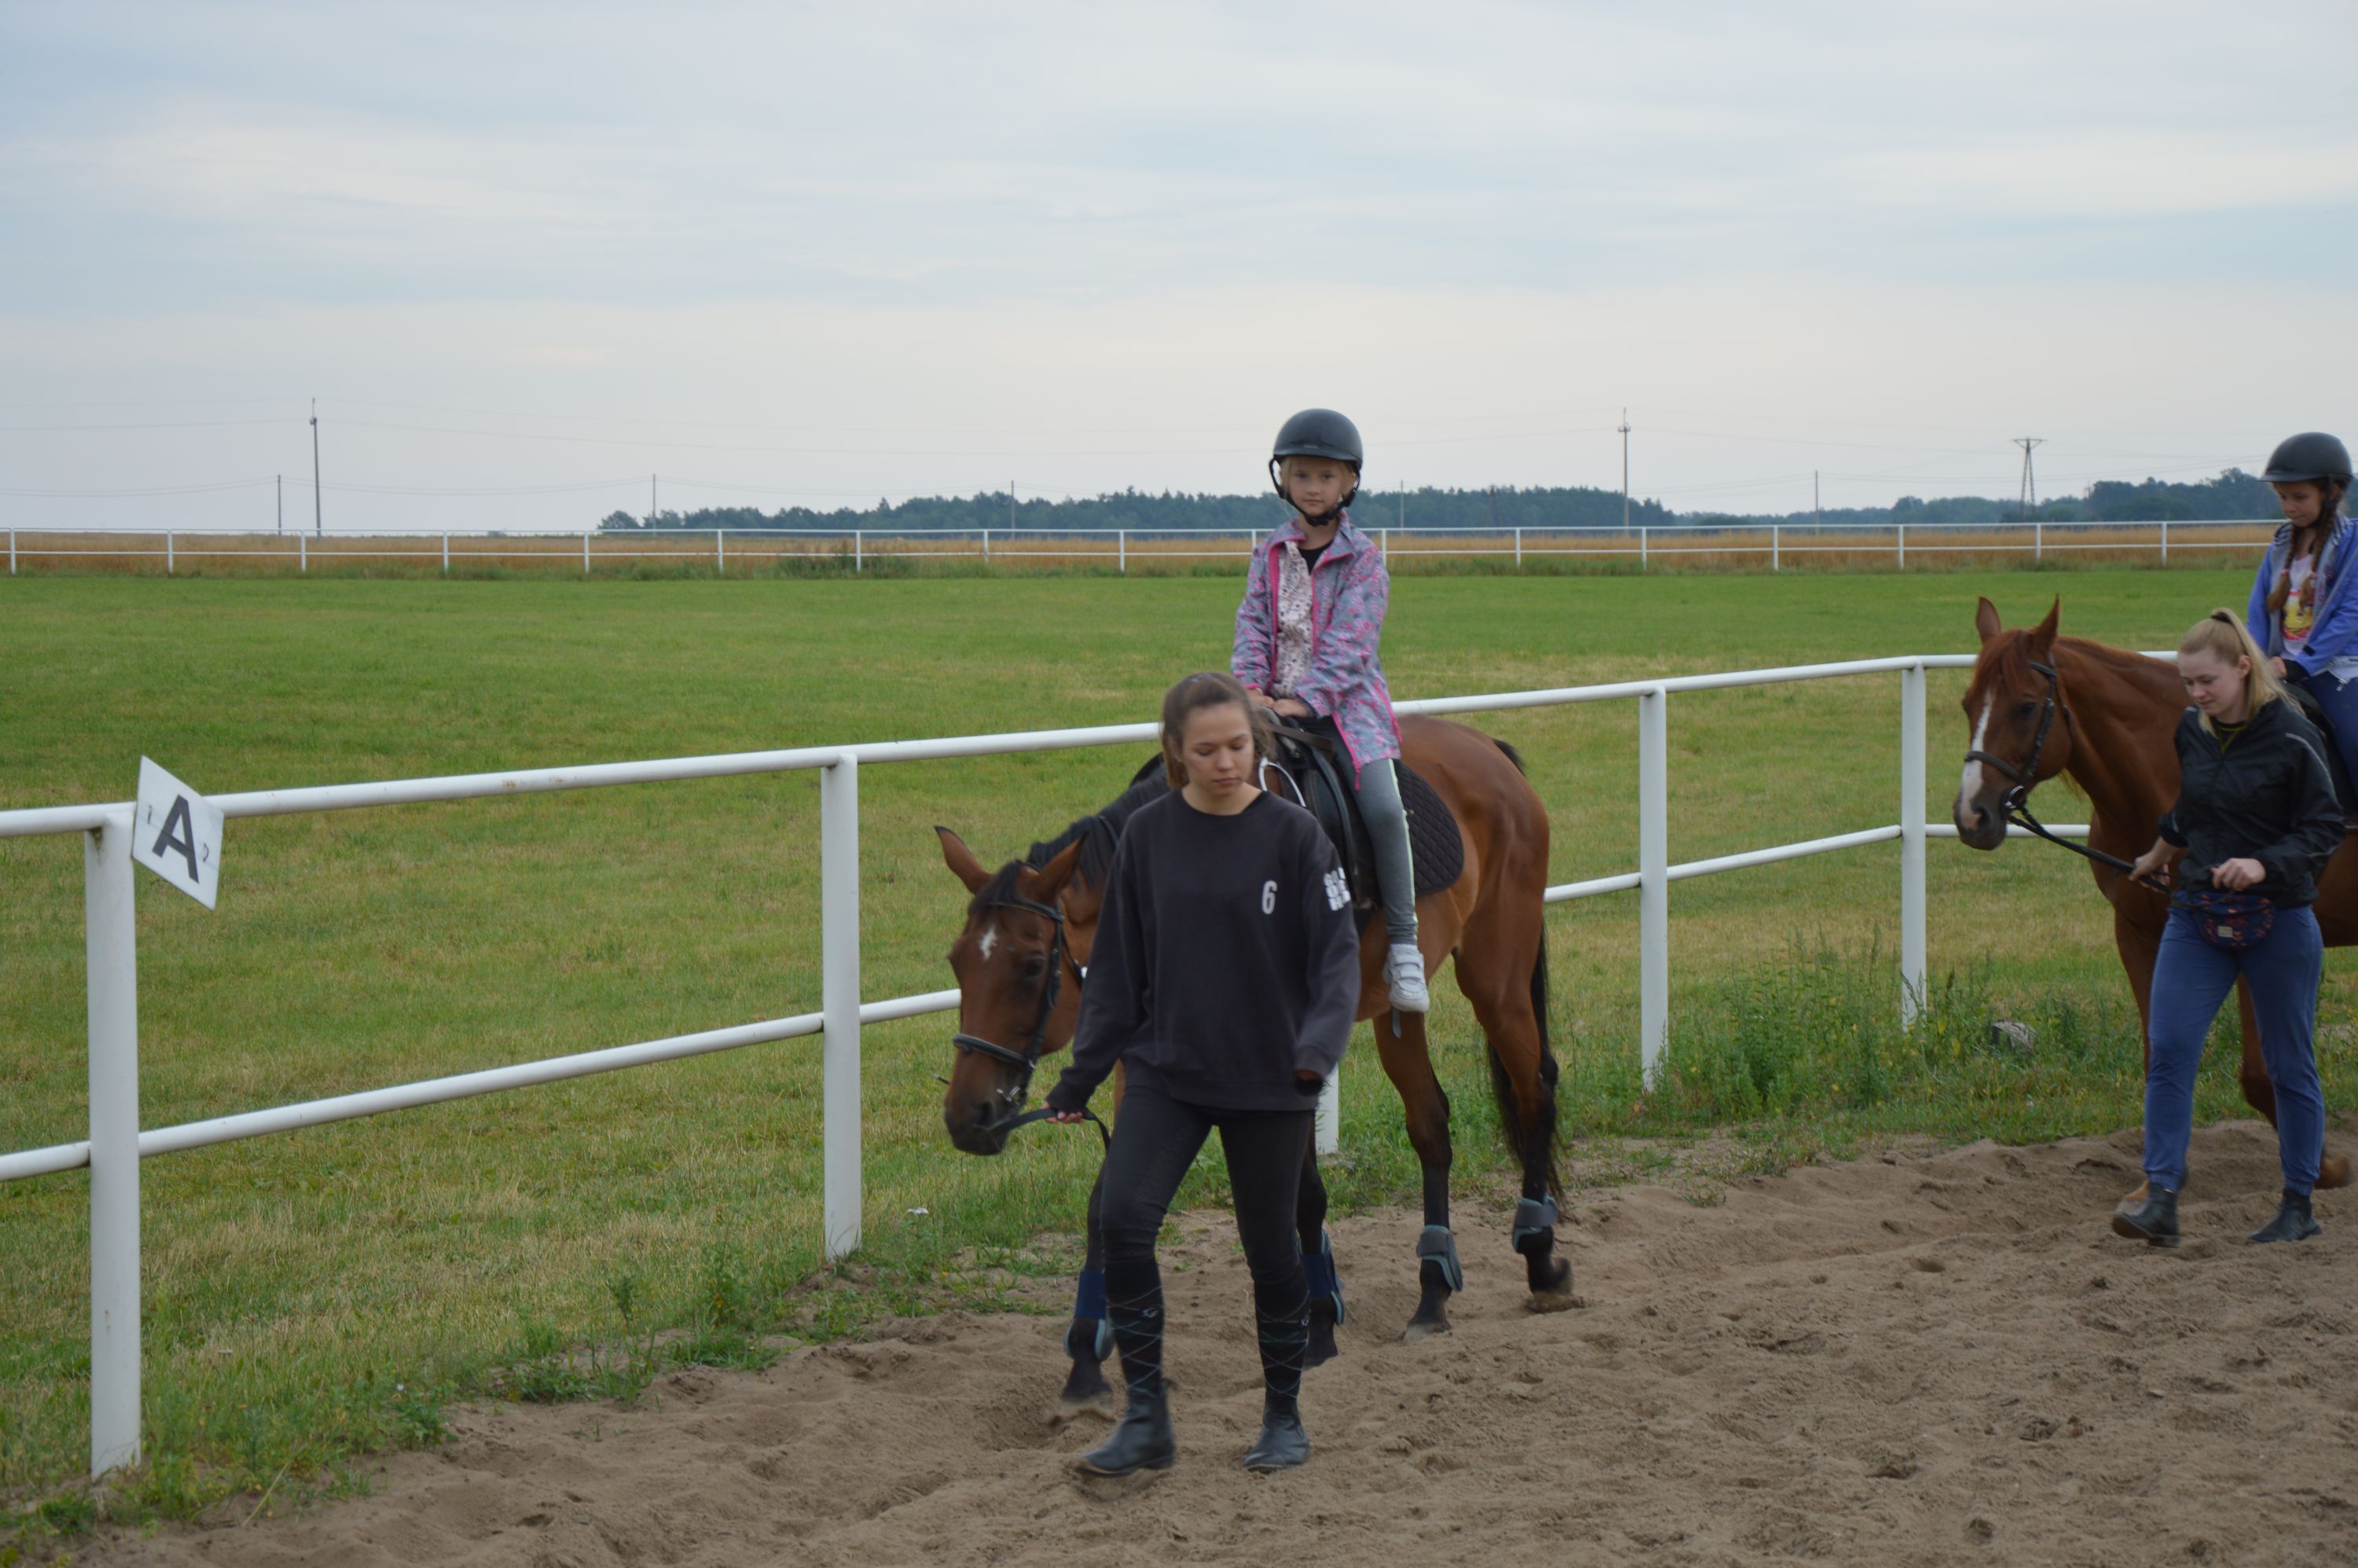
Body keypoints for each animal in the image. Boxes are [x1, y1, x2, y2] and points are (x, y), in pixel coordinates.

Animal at [935, 713, 1568, 1414]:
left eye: (1028, 966)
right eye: (957, 962)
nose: (968, 1114)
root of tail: (1488, 750)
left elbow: (1301, 1194)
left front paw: (1316, 1327)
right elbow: (1109, 1200)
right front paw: (1085, 1356)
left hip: (1496, 974)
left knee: (1535, 1091)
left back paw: (1540, 1257)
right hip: (1399, 1008)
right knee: (1431, 1122)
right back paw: (1432, 1292)